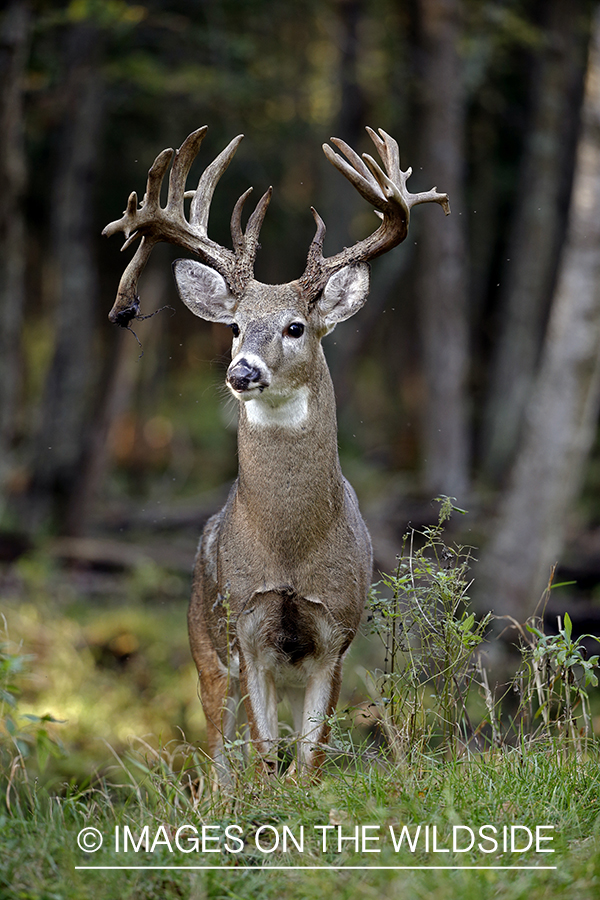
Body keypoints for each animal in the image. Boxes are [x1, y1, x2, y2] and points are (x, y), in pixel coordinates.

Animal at [104, 126, 450, 780]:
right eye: (236, 326)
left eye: (295, 327)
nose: (242, 372)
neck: (290, 549)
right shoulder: (246, 628)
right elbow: (265, 755)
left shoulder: (336, 632)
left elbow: (309, 758)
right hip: (202, 640)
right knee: (218, 763)